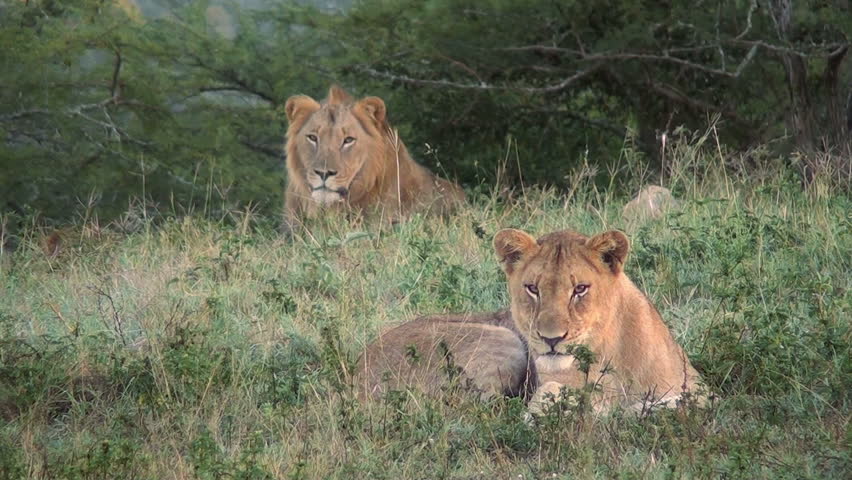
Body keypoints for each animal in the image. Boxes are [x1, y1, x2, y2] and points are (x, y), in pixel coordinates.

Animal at [354, 228, 704, 416]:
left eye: (580, 289)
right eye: (532, 288)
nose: (551, 339)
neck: (610, 354)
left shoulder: (699, 389)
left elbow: (685, 402)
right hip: (503, 341)